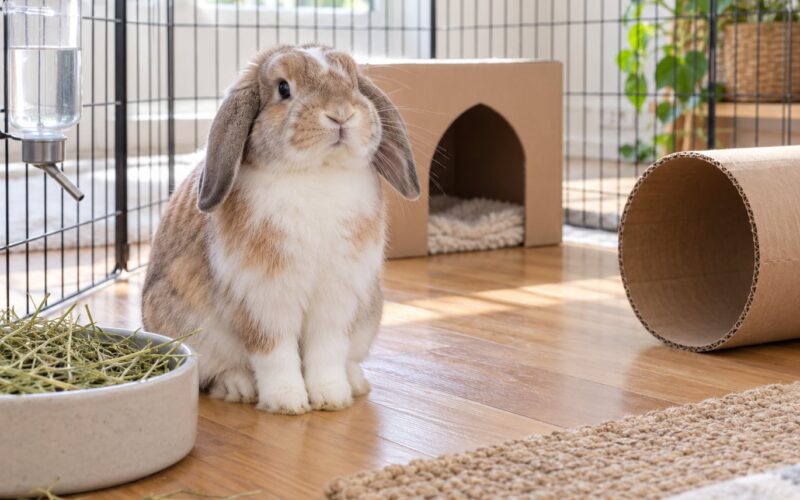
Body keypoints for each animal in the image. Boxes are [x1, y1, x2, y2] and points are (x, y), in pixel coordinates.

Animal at [142, 44, 419, 414]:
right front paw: (288, 403)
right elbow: (274, 354)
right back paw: (238, 387)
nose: (341, 114)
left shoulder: (337, 298)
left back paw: (356, 381)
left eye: (354, 84)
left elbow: (327, 350)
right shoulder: (265, 301)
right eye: (284, 88)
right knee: (216, 372)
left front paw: (331, 398)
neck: (317, 173)